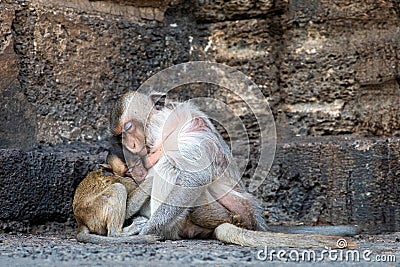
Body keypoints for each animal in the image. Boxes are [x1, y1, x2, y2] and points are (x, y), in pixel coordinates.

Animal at [108, 92, 360, 249]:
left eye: (128, 128)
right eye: (120, 134)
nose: (129, 144)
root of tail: (256, 222)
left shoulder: (189, 138)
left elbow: (194, 177)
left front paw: (150, 229)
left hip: (215, 212)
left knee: (170, 167)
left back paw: (165, 232)